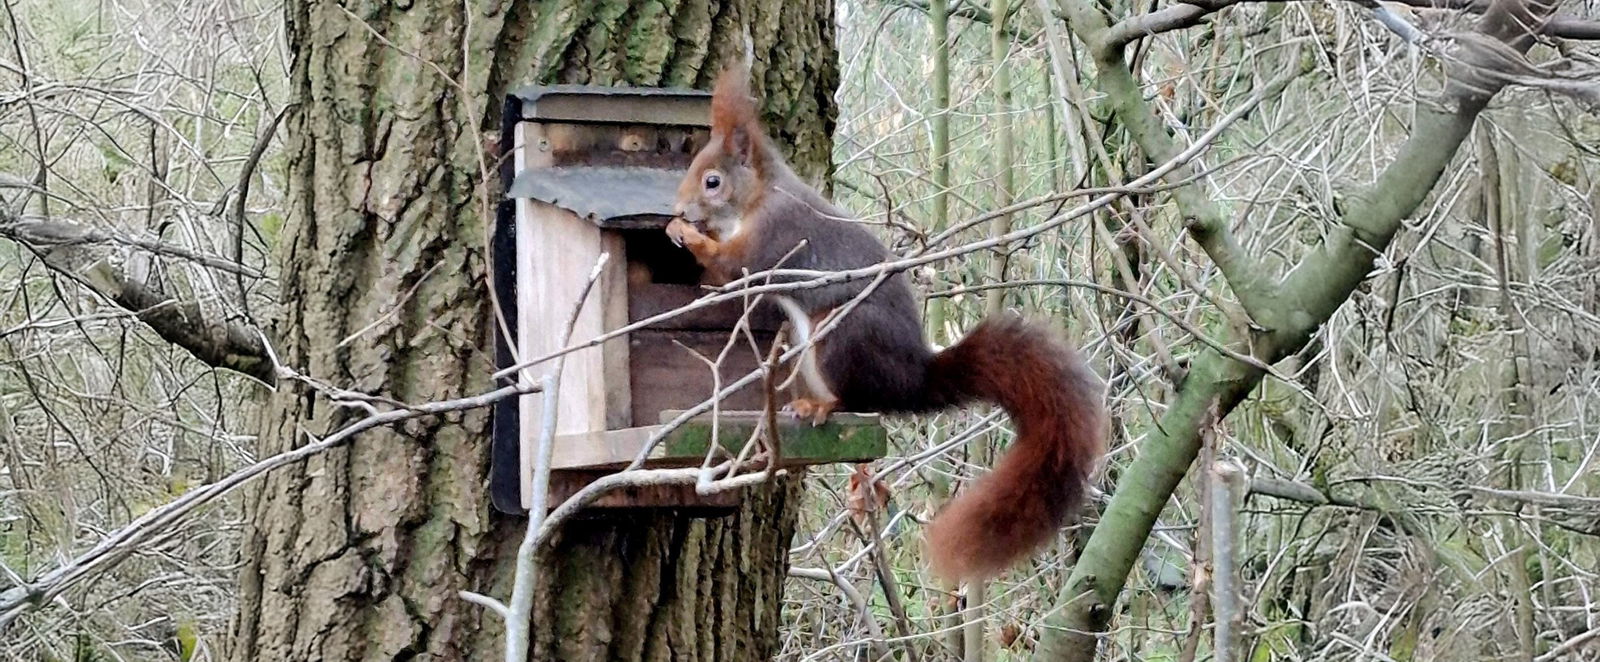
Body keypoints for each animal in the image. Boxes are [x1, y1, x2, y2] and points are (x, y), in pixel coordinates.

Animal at [665, 65, 1107, 583]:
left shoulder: (777, 237)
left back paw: (822, 406)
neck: (757, 198)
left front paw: (688, 235)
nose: (679, 208)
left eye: (712, 181)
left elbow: (736, 267)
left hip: (839, 336)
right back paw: (804, 404)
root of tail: (911, 378)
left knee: (857, 399)